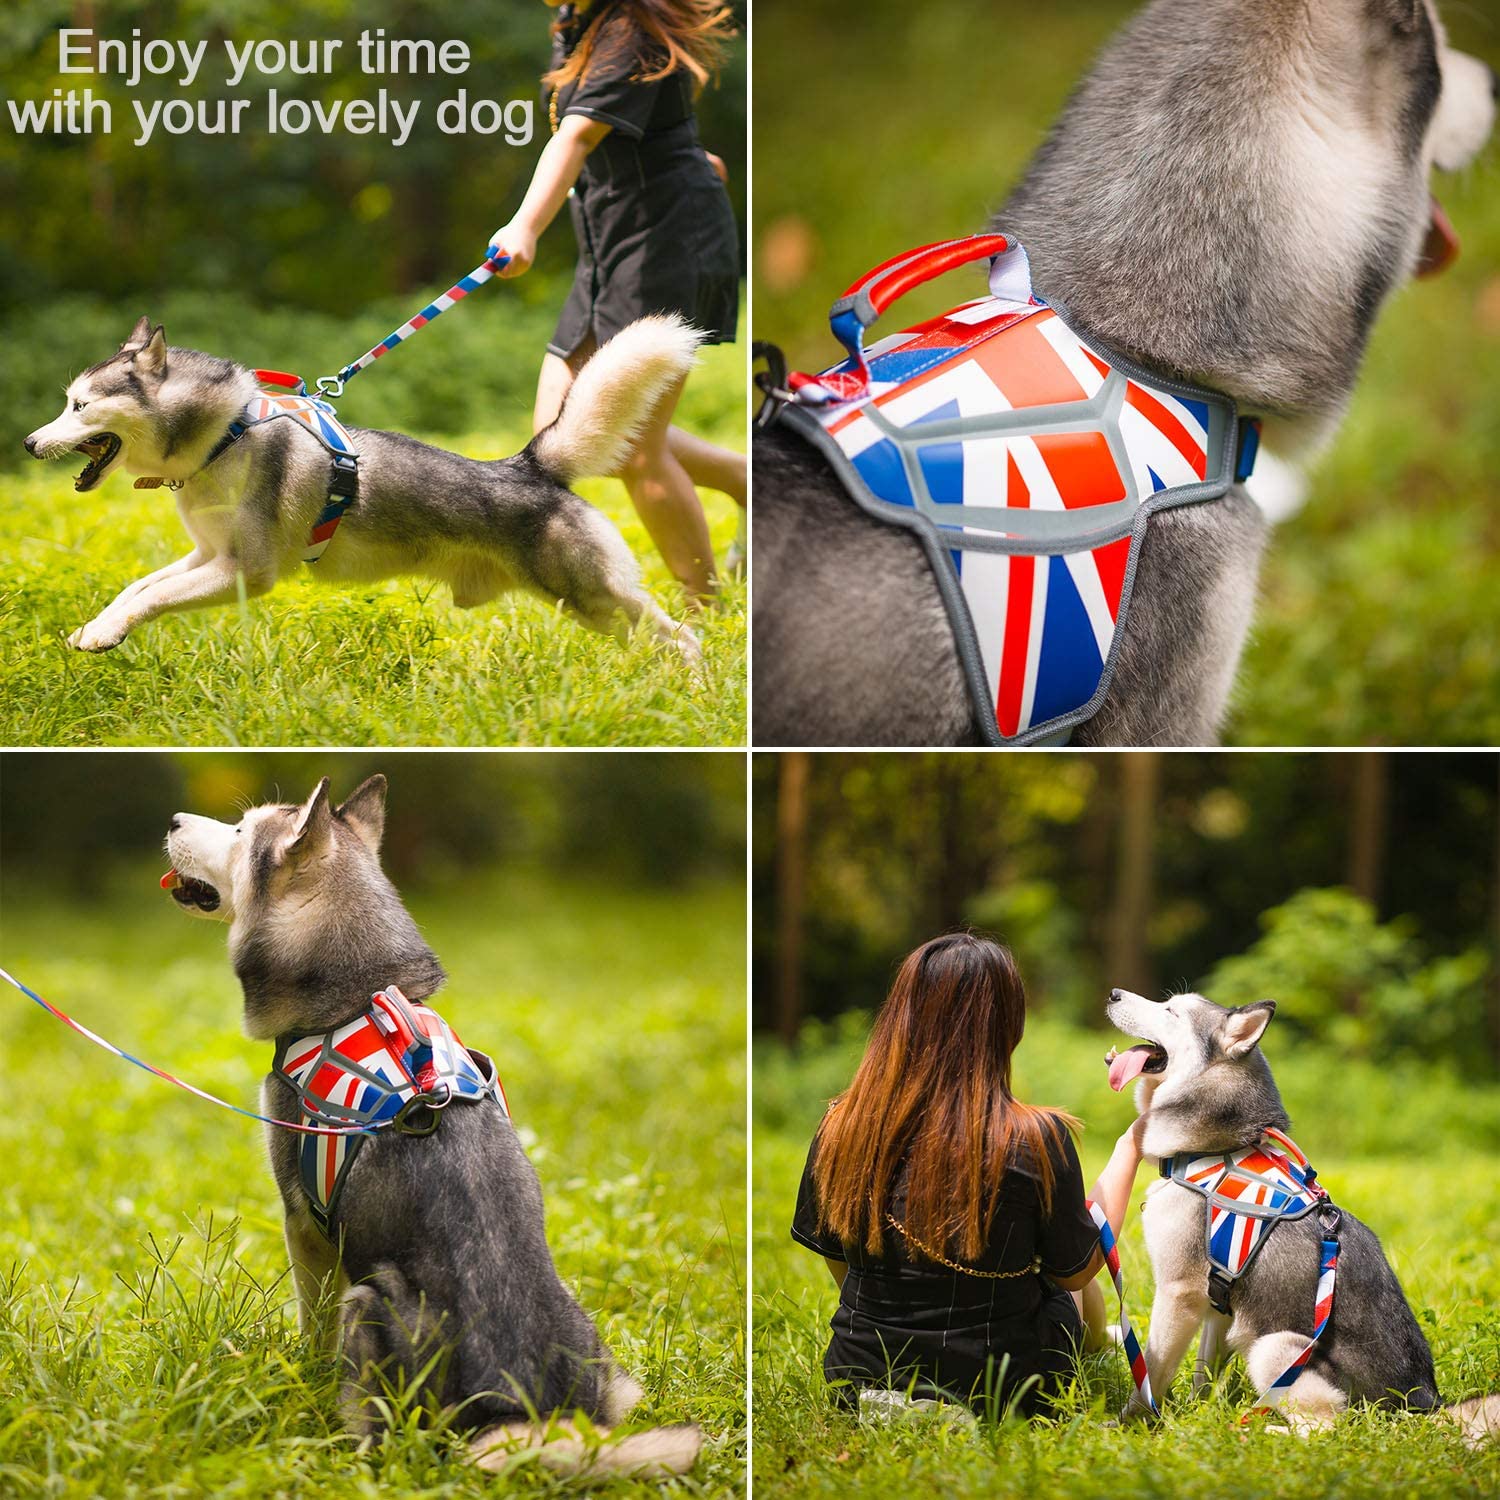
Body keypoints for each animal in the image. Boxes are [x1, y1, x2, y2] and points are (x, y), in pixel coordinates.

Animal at [24, 318, 702, 663]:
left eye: (79, 406)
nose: (30, 443)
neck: (226, 436)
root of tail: (531, 465)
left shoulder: (247, 571)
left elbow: (154, 597)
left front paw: (107, 633)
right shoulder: (208, 555)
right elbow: (138, 588)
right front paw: (97, 628)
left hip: (591, 596)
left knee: (683, 637)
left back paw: (691, 687)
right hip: (591, 607)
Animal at [164, 774, 702, 1476]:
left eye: (237, 832)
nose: (173, 819)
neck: (357, 998)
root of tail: (518, 1414)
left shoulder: (304, 1223)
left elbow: (312, 1325)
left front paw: (300, 1379)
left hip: (372, 1305)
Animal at [1104, 984, 1500, 1440]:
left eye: (1171, 1012)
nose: (1113, 993)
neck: (1215, 1150)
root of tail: (1419, 1404)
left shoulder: (1178, 1292)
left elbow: (1150, 1371)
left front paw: (1131, 1422)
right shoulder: (1219, 1300)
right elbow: (1205, 1373)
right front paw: (1198, 1411)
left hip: (1275, 1347)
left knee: (1326, 1428)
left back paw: (1260, 1431)